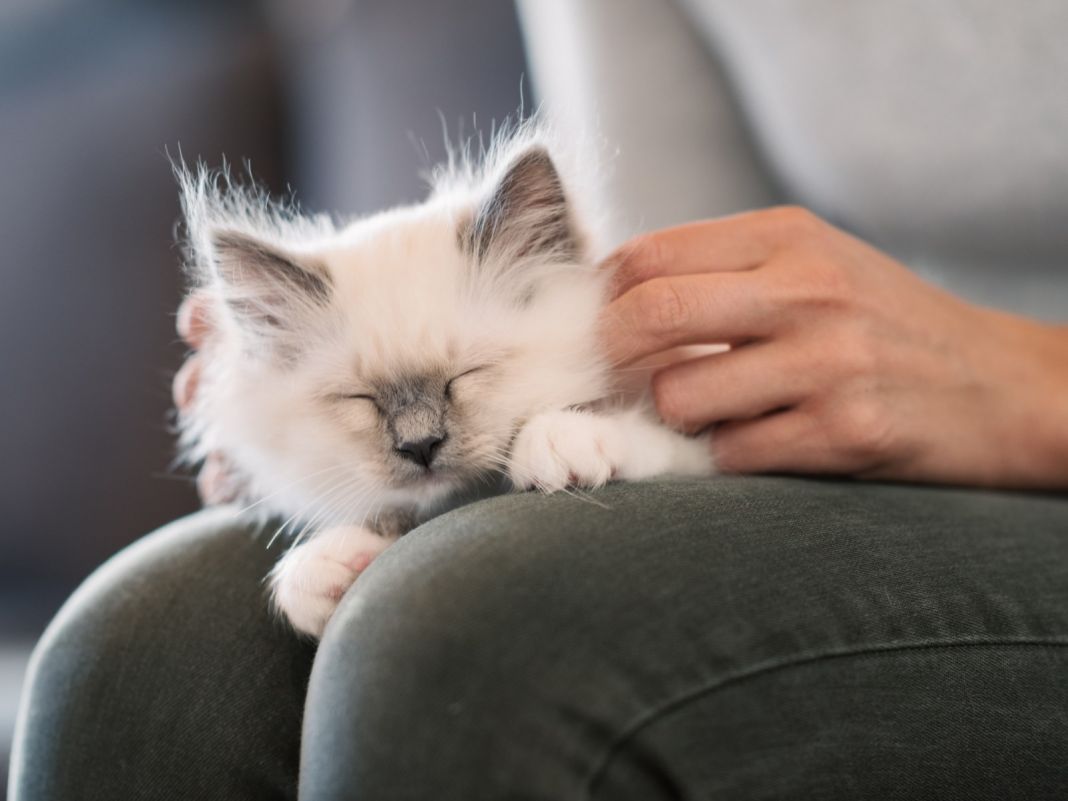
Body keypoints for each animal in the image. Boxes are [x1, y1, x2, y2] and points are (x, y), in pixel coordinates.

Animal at [175, 127, 713, 640]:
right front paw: (323, 570)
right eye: (361, 400)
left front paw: (563, 439)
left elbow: (653, 439)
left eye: (466, 375)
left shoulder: (704, 440)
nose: (420, 445)